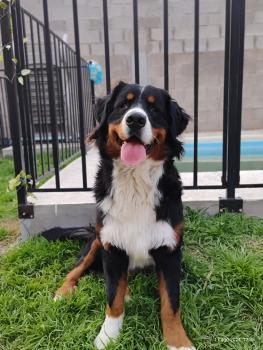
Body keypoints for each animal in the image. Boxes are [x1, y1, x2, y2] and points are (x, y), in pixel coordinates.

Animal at [55, 82, 196, 350]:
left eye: (154, 109)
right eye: (123, 105)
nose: (136, 119)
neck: (135, 182)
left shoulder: (169, 251)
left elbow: (171, 304)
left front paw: (178, 341)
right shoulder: (112, 247)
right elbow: (113, 298)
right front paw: (107, 336)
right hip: (95, 242)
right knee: (76, 269)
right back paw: (63, 291)